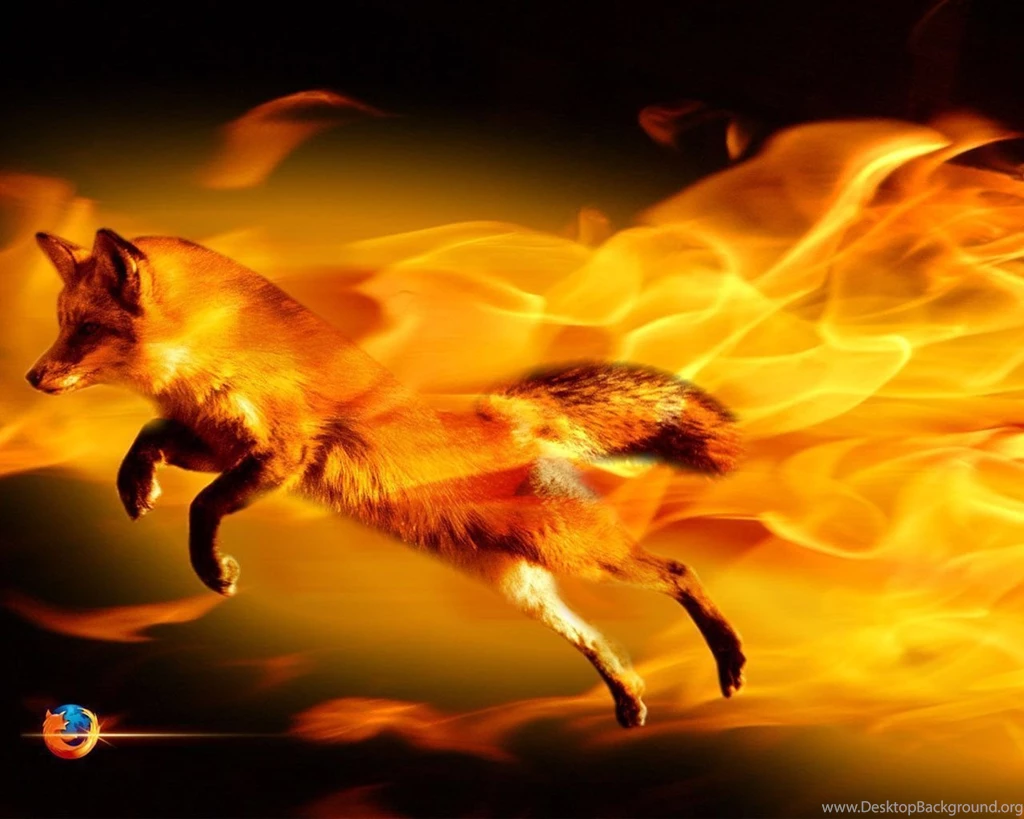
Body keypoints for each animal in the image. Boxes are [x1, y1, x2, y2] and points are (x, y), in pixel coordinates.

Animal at [25, 228, 746, 727]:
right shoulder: (214, 440)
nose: (32, 377)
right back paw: (628, 698)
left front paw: (212, 569)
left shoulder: (282, 452)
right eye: (62, 323)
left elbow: (204, 506)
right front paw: (135, 486)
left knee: (678, 570)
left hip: (574, 550)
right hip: (522, 585)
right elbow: (148, 440)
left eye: (85, 328)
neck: (214, 353)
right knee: (598, 641)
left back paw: (730, 658)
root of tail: (507, 414)